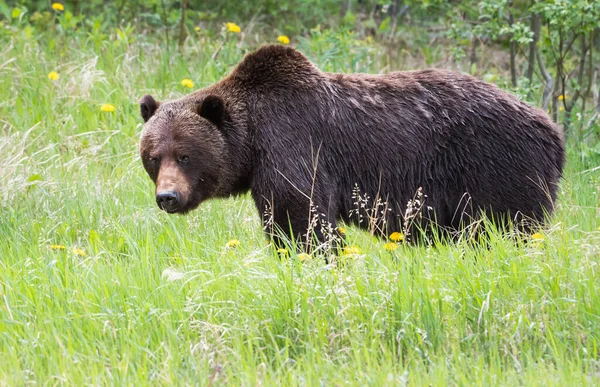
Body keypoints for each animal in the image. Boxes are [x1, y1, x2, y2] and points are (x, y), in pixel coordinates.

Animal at [138, 44, 564, 249]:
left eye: (185, 155)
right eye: (153, 157)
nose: (168, 197)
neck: (252, 142)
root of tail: (553, 128)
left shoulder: (294, 147)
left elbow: (303, 219)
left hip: (498, 168)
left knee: (509, 228)